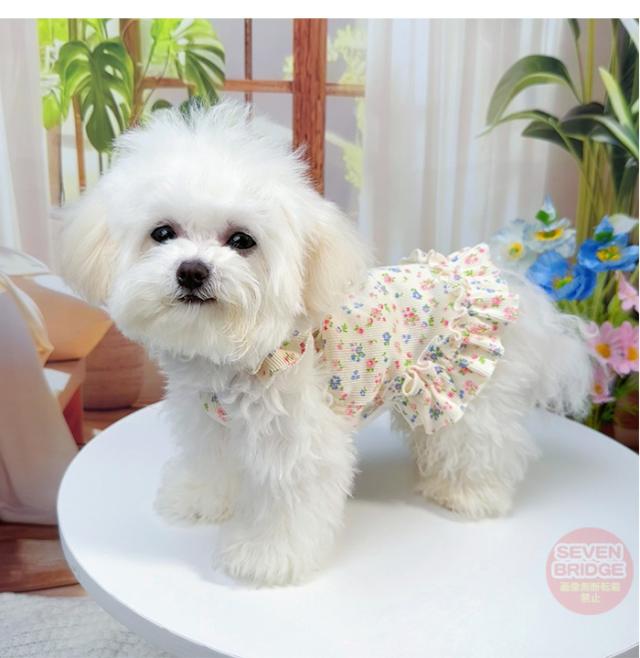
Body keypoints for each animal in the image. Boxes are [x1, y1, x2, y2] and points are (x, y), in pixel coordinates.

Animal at [61, 102, 592, 586]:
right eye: (163, 233)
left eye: (242, 241)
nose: (192, 270)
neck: (234, 358)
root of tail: (516, 291)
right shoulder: (208, 421)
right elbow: (211, 464)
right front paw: (200, 499)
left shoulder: (298, 440)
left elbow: (287, 500)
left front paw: (264, 557)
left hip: (470, 389)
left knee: (483, 445)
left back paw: (468, 494)